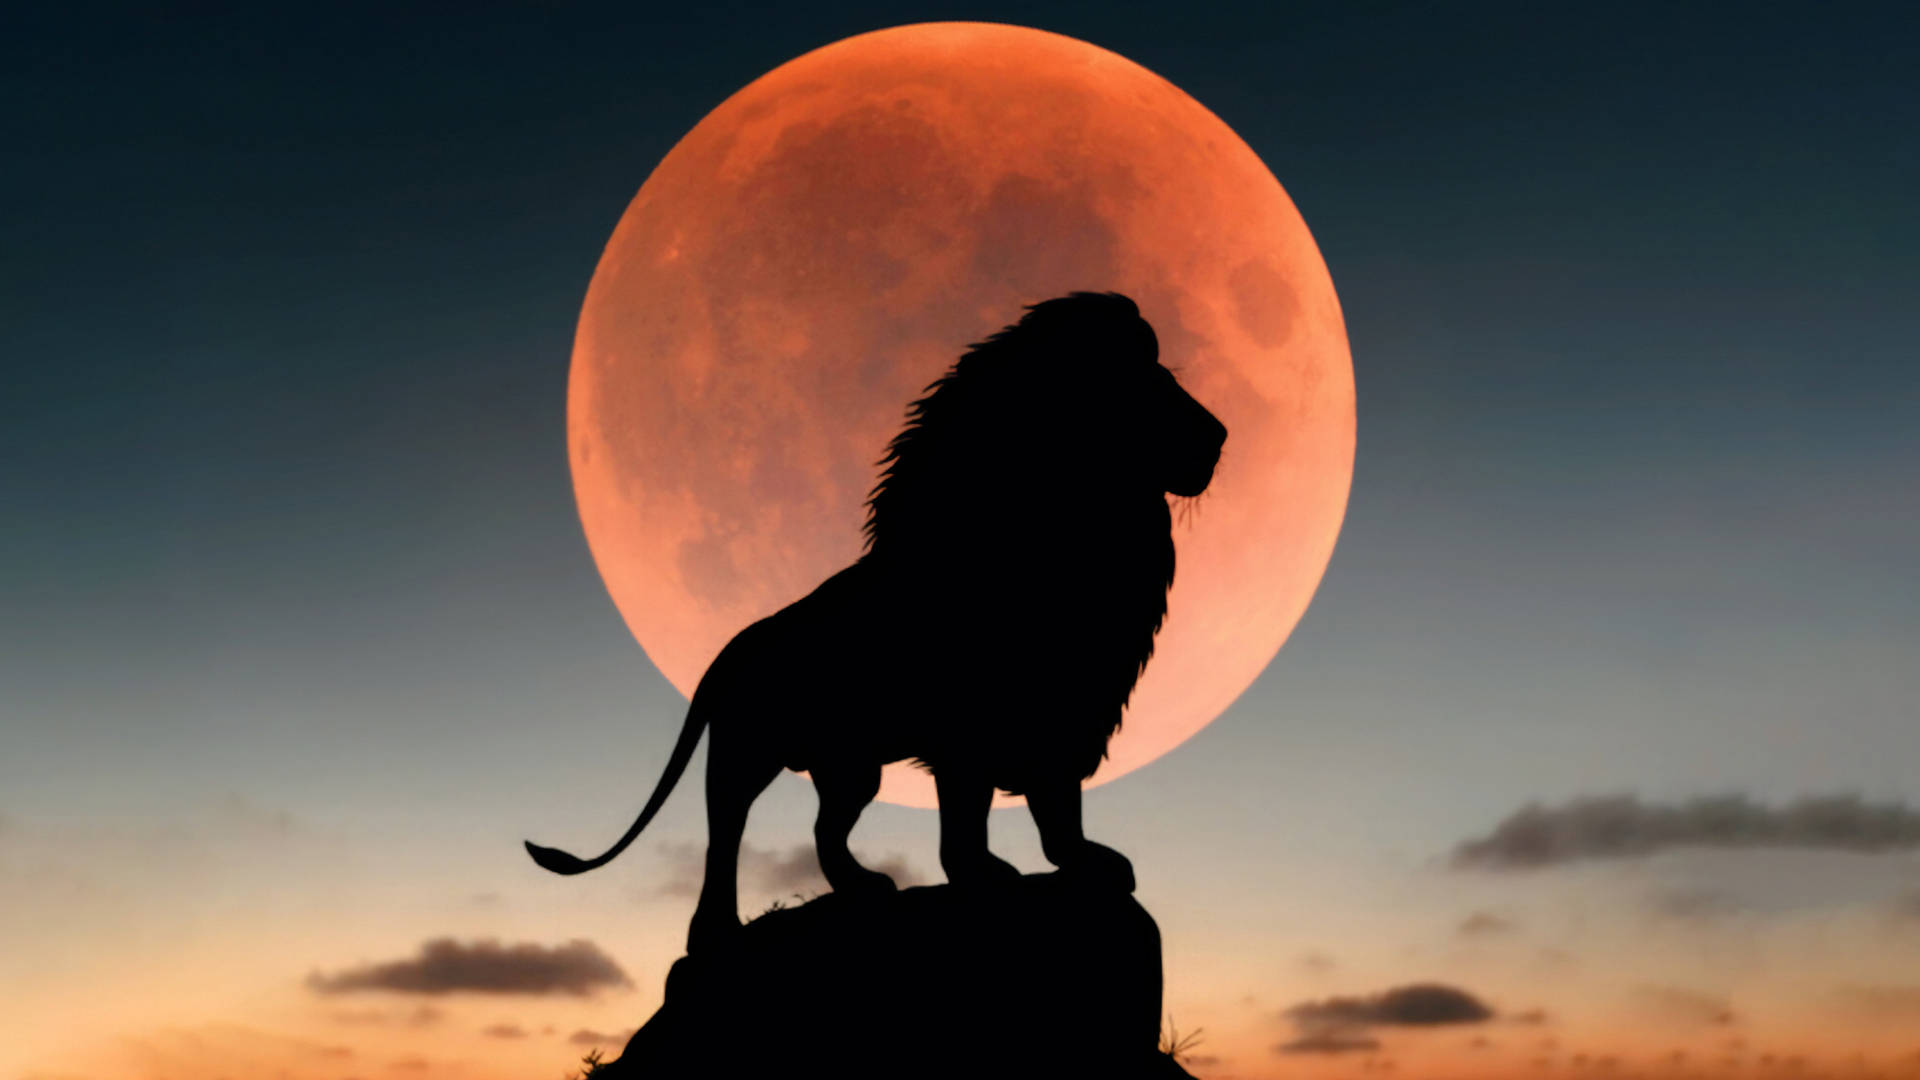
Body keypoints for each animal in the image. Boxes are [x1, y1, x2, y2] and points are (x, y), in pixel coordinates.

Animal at [526, 291, 1228, 952]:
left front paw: (1083, 863)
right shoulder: (973, 733)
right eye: (1146, 383)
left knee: (824, 831)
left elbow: (1058, 811)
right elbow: (970, 819)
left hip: (850, 765)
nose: (1220, 436)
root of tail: (733, 647)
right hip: (745, 753)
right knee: (724, 834)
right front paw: (986, 876)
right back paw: (714, 932)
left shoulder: (1068, 717)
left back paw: (863, 887)